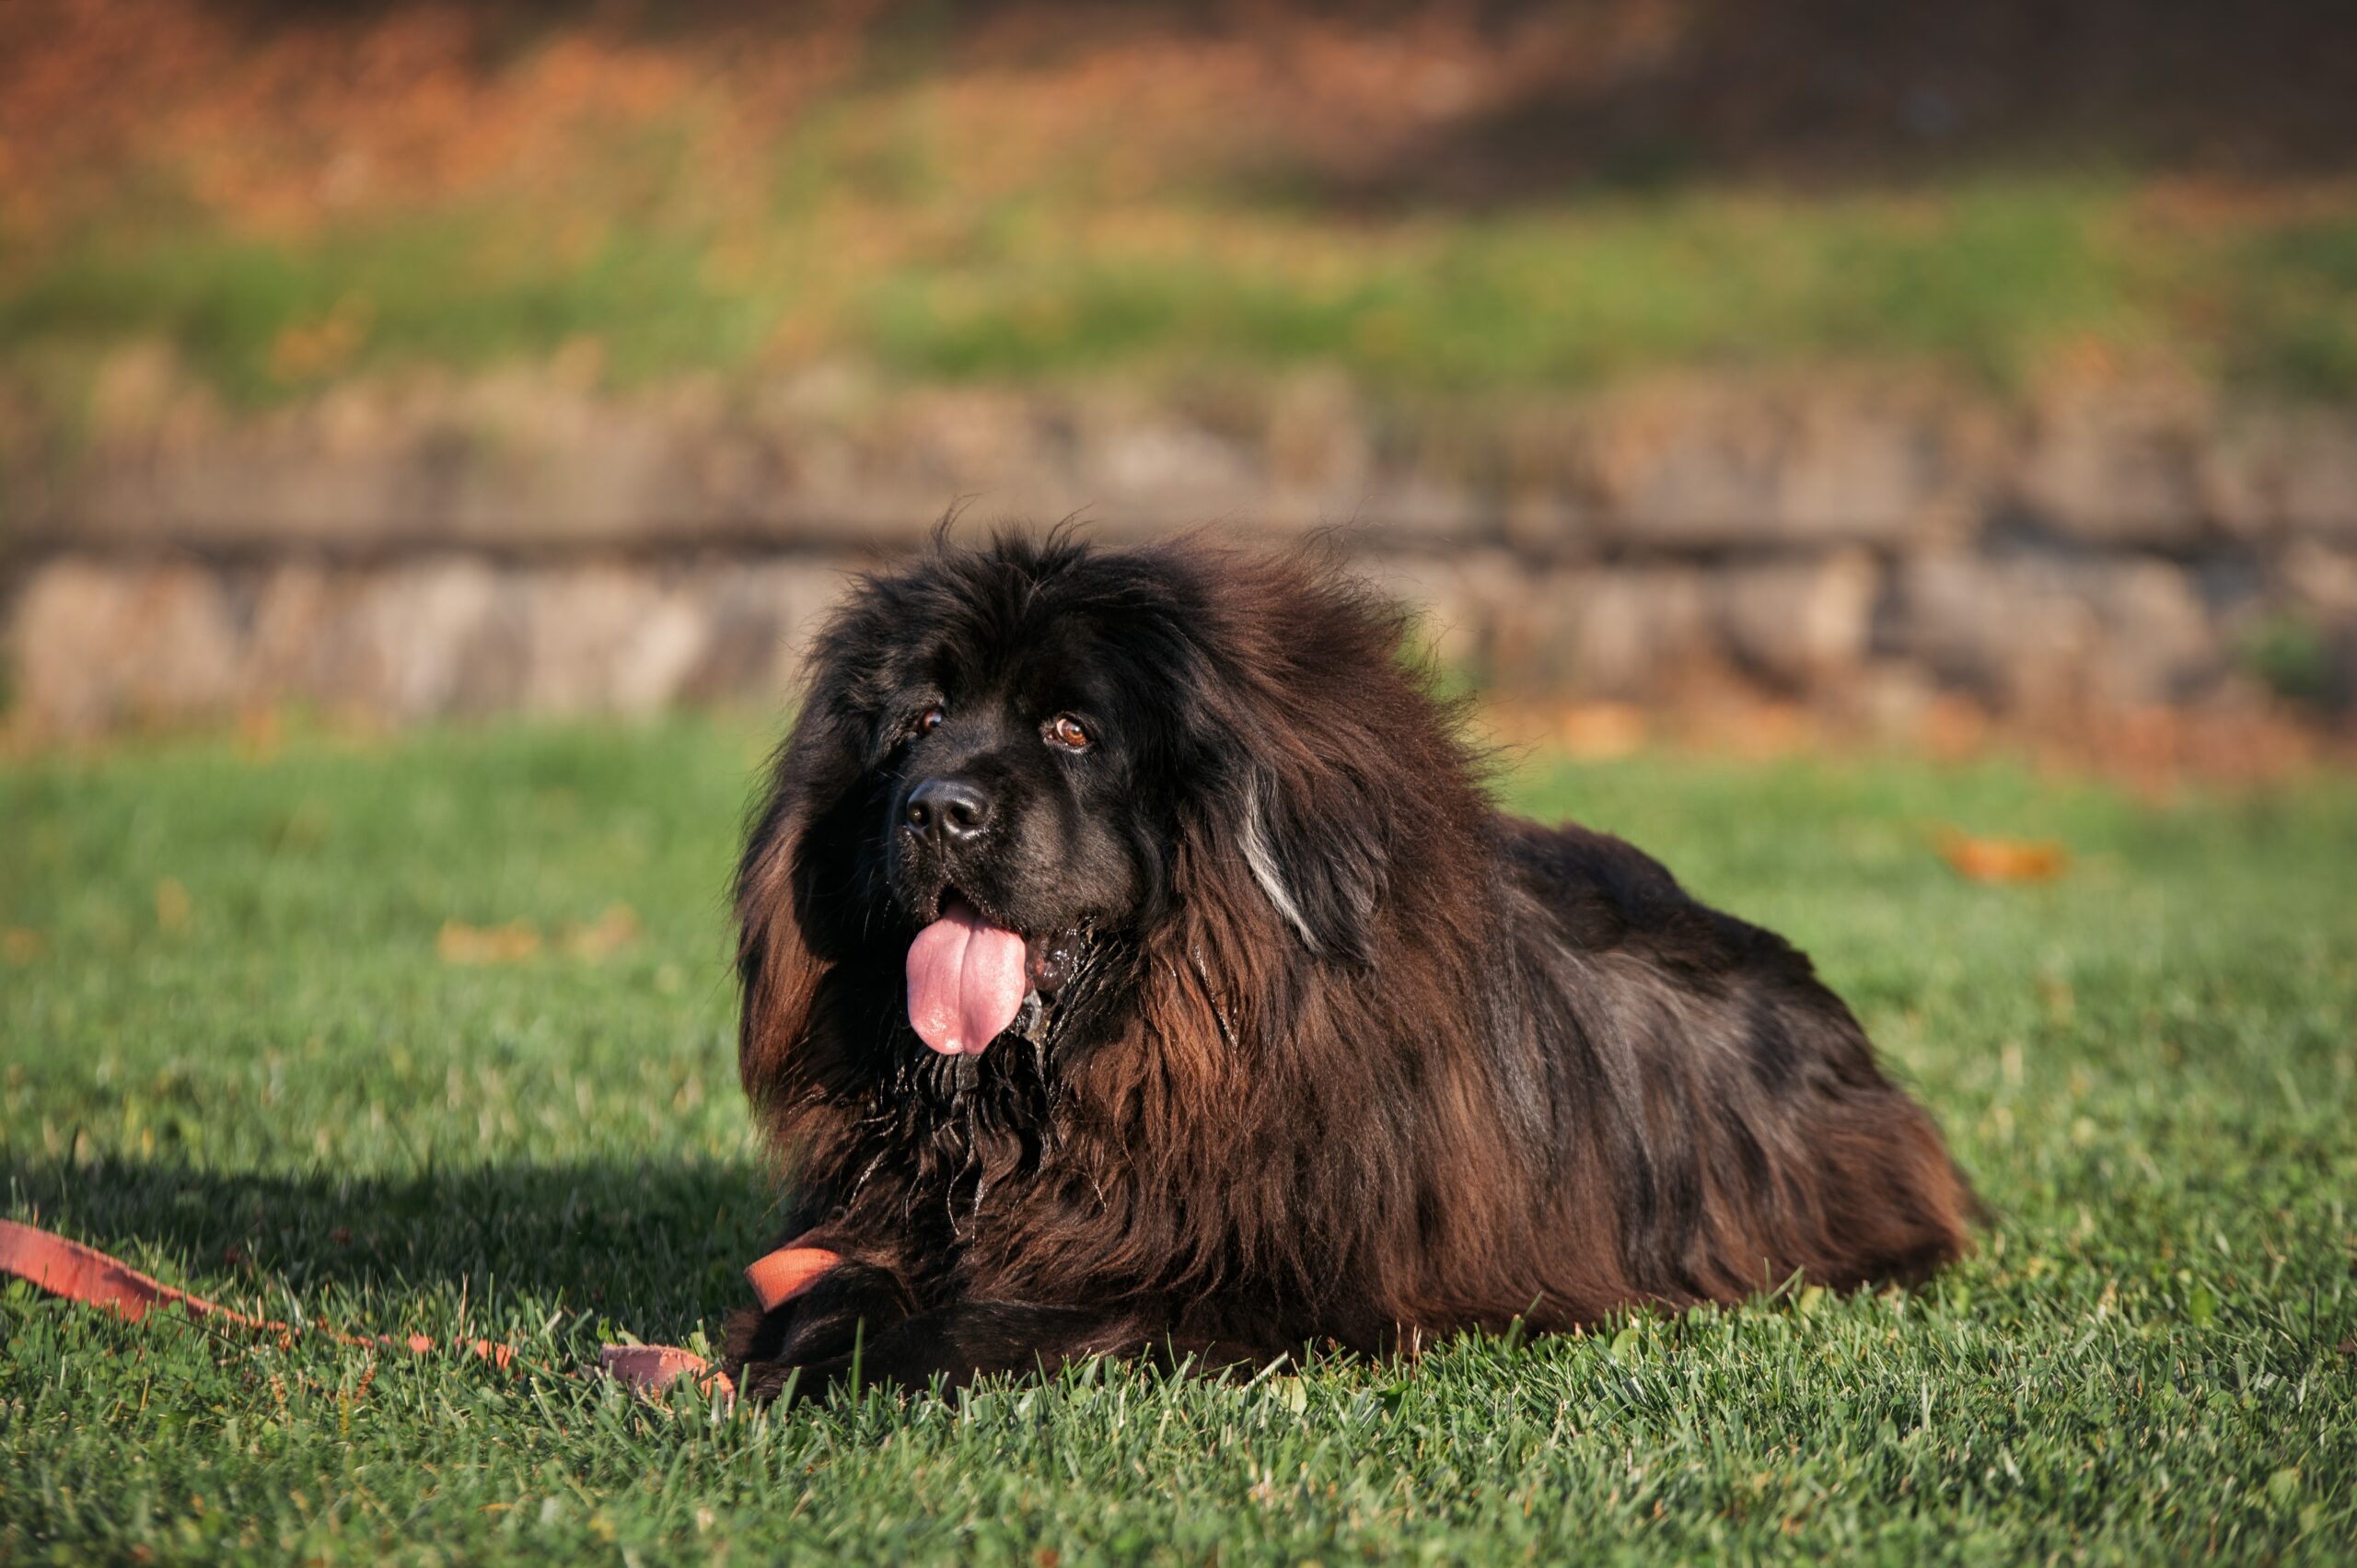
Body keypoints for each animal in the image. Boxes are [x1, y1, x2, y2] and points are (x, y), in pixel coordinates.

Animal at [716, 535, 1970, 1396]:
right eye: (920, 723)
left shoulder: (1272, 1290)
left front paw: (836, 1353)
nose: (937, 809)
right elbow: (855, 1269)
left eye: (1071, 731)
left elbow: (1026, 1314)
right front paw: (807, 1323)